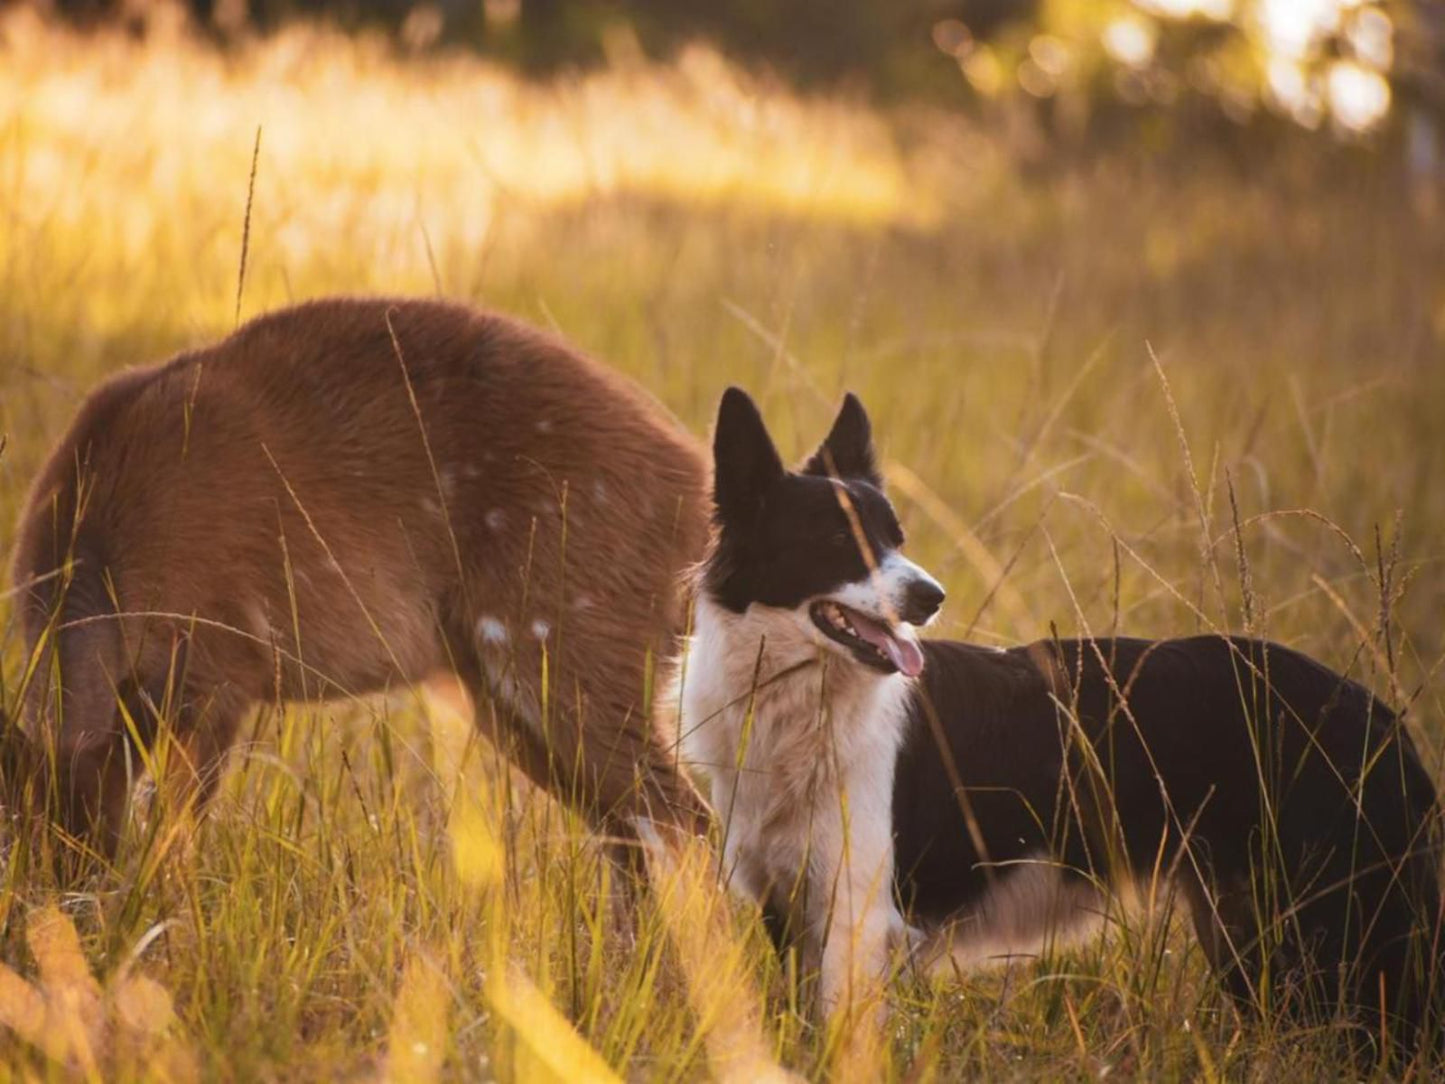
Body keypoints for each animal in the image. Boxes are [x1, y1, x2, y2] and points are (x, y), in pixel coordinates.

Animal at [679, 387, 1445, 1057]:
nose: (931, 596)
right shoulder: (791, 909)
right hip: (1253, 935)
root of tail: (1378, 715)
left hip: (1329, 937)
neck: (805, 703)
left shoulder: (856, 917)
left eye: (896, 538)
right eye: (839, 539)